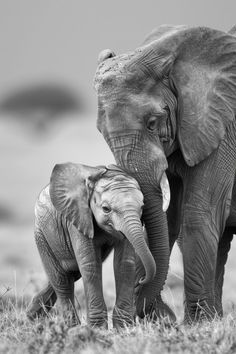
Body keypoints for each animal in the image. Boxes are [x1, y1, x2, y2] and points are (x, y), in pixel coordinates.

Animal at [26, 163, 156, 330]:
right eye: (106, 209)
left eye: (142, 207)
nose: (141, 280)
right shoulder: (78, 218)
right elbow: (90, 264)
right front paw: (97, 329)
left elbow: (124, 264)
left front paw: (123, 328)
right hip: (41, 235)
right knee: (61, 281)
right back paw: (70, 327)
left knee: (70, 273)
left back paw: (32, 315)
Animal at [94, 25, 236, 324]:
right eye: (102, 132)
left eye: (152, 123)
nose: (158, 314)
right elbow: (169, 220)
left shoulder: (224, 128)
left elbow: (197, 214)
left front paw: (195, 325)